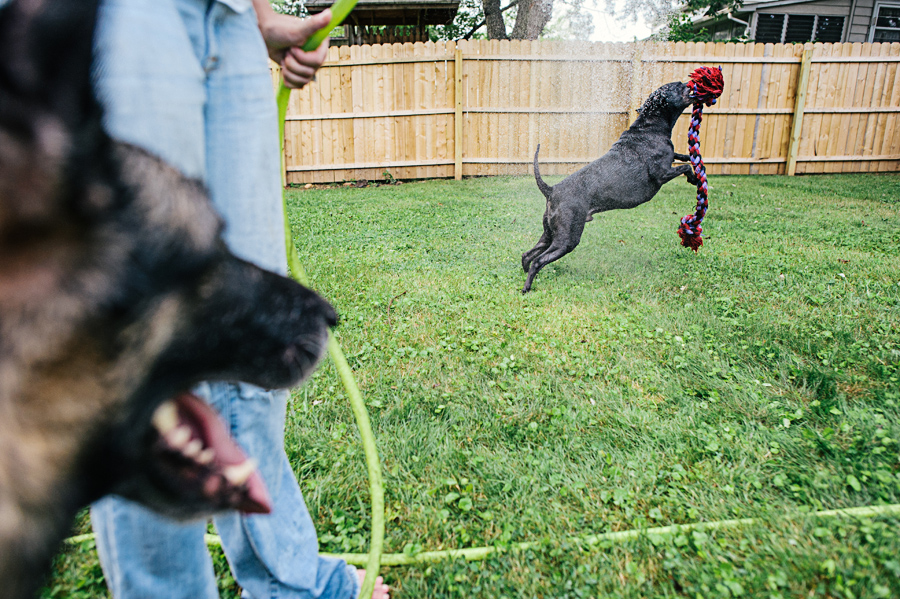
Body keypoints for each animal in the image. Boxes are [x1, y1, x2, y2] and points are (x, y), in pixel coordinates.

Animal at [520, 81, 704, 292]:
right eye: (676, 86)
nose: (690, 83)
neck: (649, 128)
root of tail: (551, 190)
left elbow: (682, 156)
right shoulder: (661, 174)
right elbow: (685, 167)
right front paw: (694, 179)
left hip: (550, 234)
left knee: (527, 254)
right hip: (566, 239)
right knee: (538, 260)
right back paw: (527, 288)